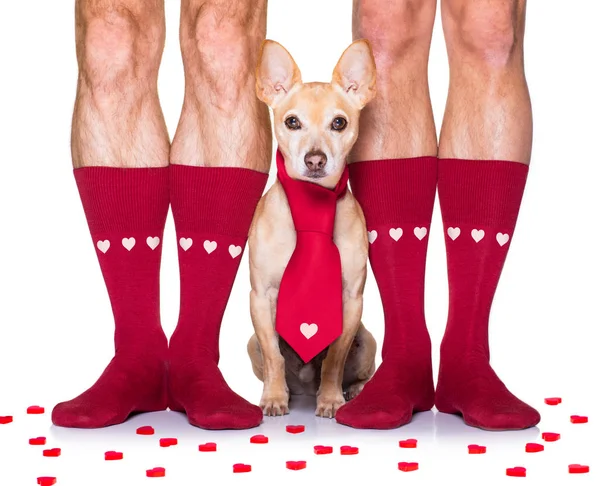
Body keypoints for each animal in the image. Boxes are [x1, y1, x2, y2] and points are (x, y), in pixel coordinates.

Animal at [246, 39, 378, 418]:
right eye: (292, 122)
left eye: (339, 123)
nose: (315, 159)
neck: (312, 206)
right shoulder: (261, 297)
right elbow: (275, 356)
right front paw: (274, 398)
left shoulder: (351, 300)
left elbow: (334, 358)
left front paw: (331, 398)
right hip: (251, 343)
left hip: (367, 340)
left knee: (360, 372)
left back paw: (354, 391)